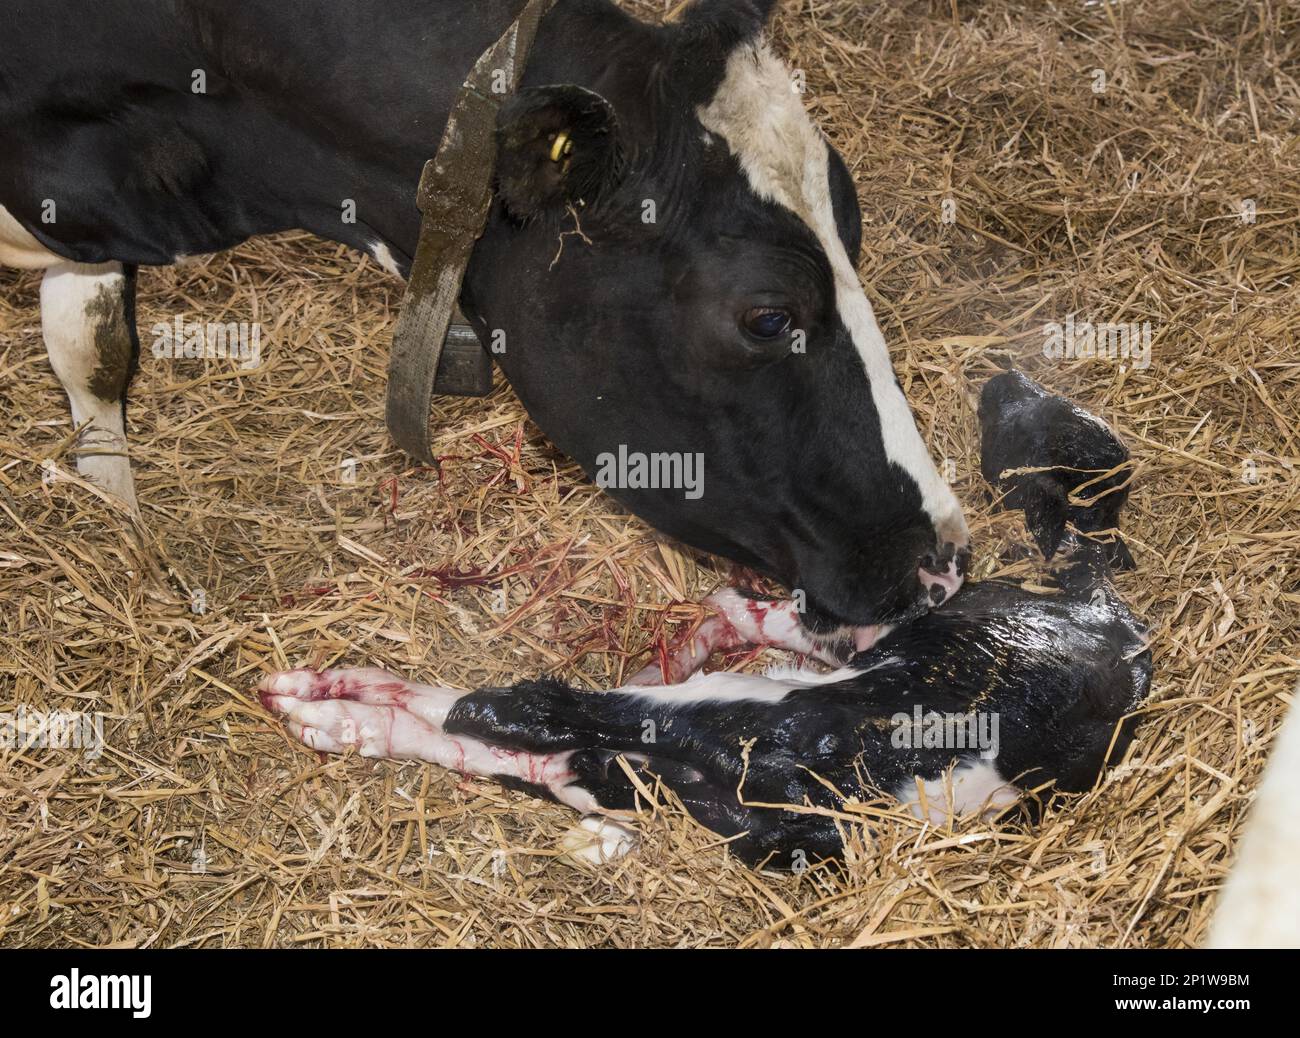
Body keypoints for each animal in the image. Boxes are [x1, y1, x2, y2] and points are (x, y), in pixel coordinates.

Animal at [0, 0, 972, 634]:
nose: (943, 560)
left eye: (854, 234)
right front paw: (121, 523)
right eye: (768, 317)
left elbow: (92, 346)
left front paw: (114, 513)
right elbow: (94, 349)